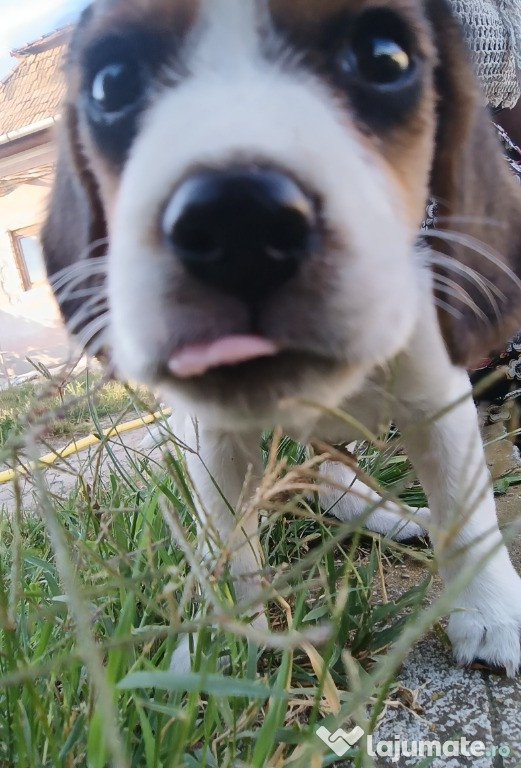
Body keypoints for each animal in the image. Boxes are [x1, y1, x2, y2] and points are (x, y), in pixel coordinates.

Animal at [42, 0, 520, 672]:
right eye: (112, 85)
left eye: (384, 58)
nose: (238, 221)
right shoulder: (214, 441)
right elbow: (230, 546)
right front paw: (221, 645)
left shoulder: (438, 400)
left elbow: (467, 511)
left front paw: (492, 610)